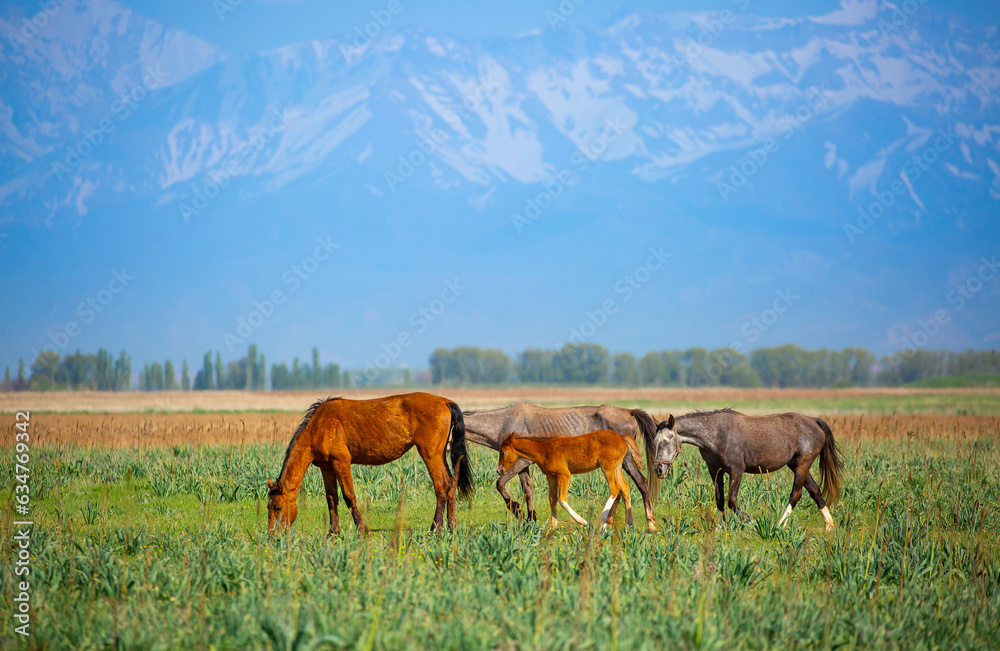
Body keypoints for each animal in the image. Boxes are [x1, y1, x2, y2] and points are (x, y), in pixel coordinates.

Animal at [266, 392, 473, 535]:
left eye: (278, 507)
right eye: (268, 507)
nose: (273, 537)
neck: (319, 426)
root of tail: (445, 402)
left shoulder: (341, 463)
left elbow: (349, 496)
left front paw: (362, 529)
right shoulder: (326, 468)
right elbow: (332, 499)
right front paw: (333, 532)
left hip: (430, 455)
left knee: (442, 486)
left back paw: (435, 528)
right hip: (440, 455)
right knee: (451, 484)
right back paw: (451, 526)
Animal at [497, 430, 638, 531]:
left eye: (503, 452)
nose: (499, 470)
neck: (545, 450)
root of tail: (621, 436)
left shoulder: (564, 475)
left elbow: (562, 500)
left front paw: (584, 522)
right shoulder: (551, 477)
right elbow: (552, 500)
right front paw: (552, 528)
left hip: (608, 468)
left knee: (614, 489)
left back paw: (601, 523)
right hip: (617, 468)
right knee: (625, 489)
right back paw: (629, 524)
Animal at [650, 409, 843, 530]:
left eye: (666, 440)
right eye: (654, 441)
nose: (658, 470)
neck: (716, 435)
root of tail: (814, 420)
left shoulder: (736, 470)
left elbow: (731, 501)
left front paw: (751, 522)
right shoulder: (715, 471)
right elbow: (720, 500)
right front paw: (719, 527)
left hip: (803, 465)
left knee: (796, 494)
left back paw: (780, 525)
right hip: (797, 466)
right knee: (815, 491)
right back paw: (829, 525)